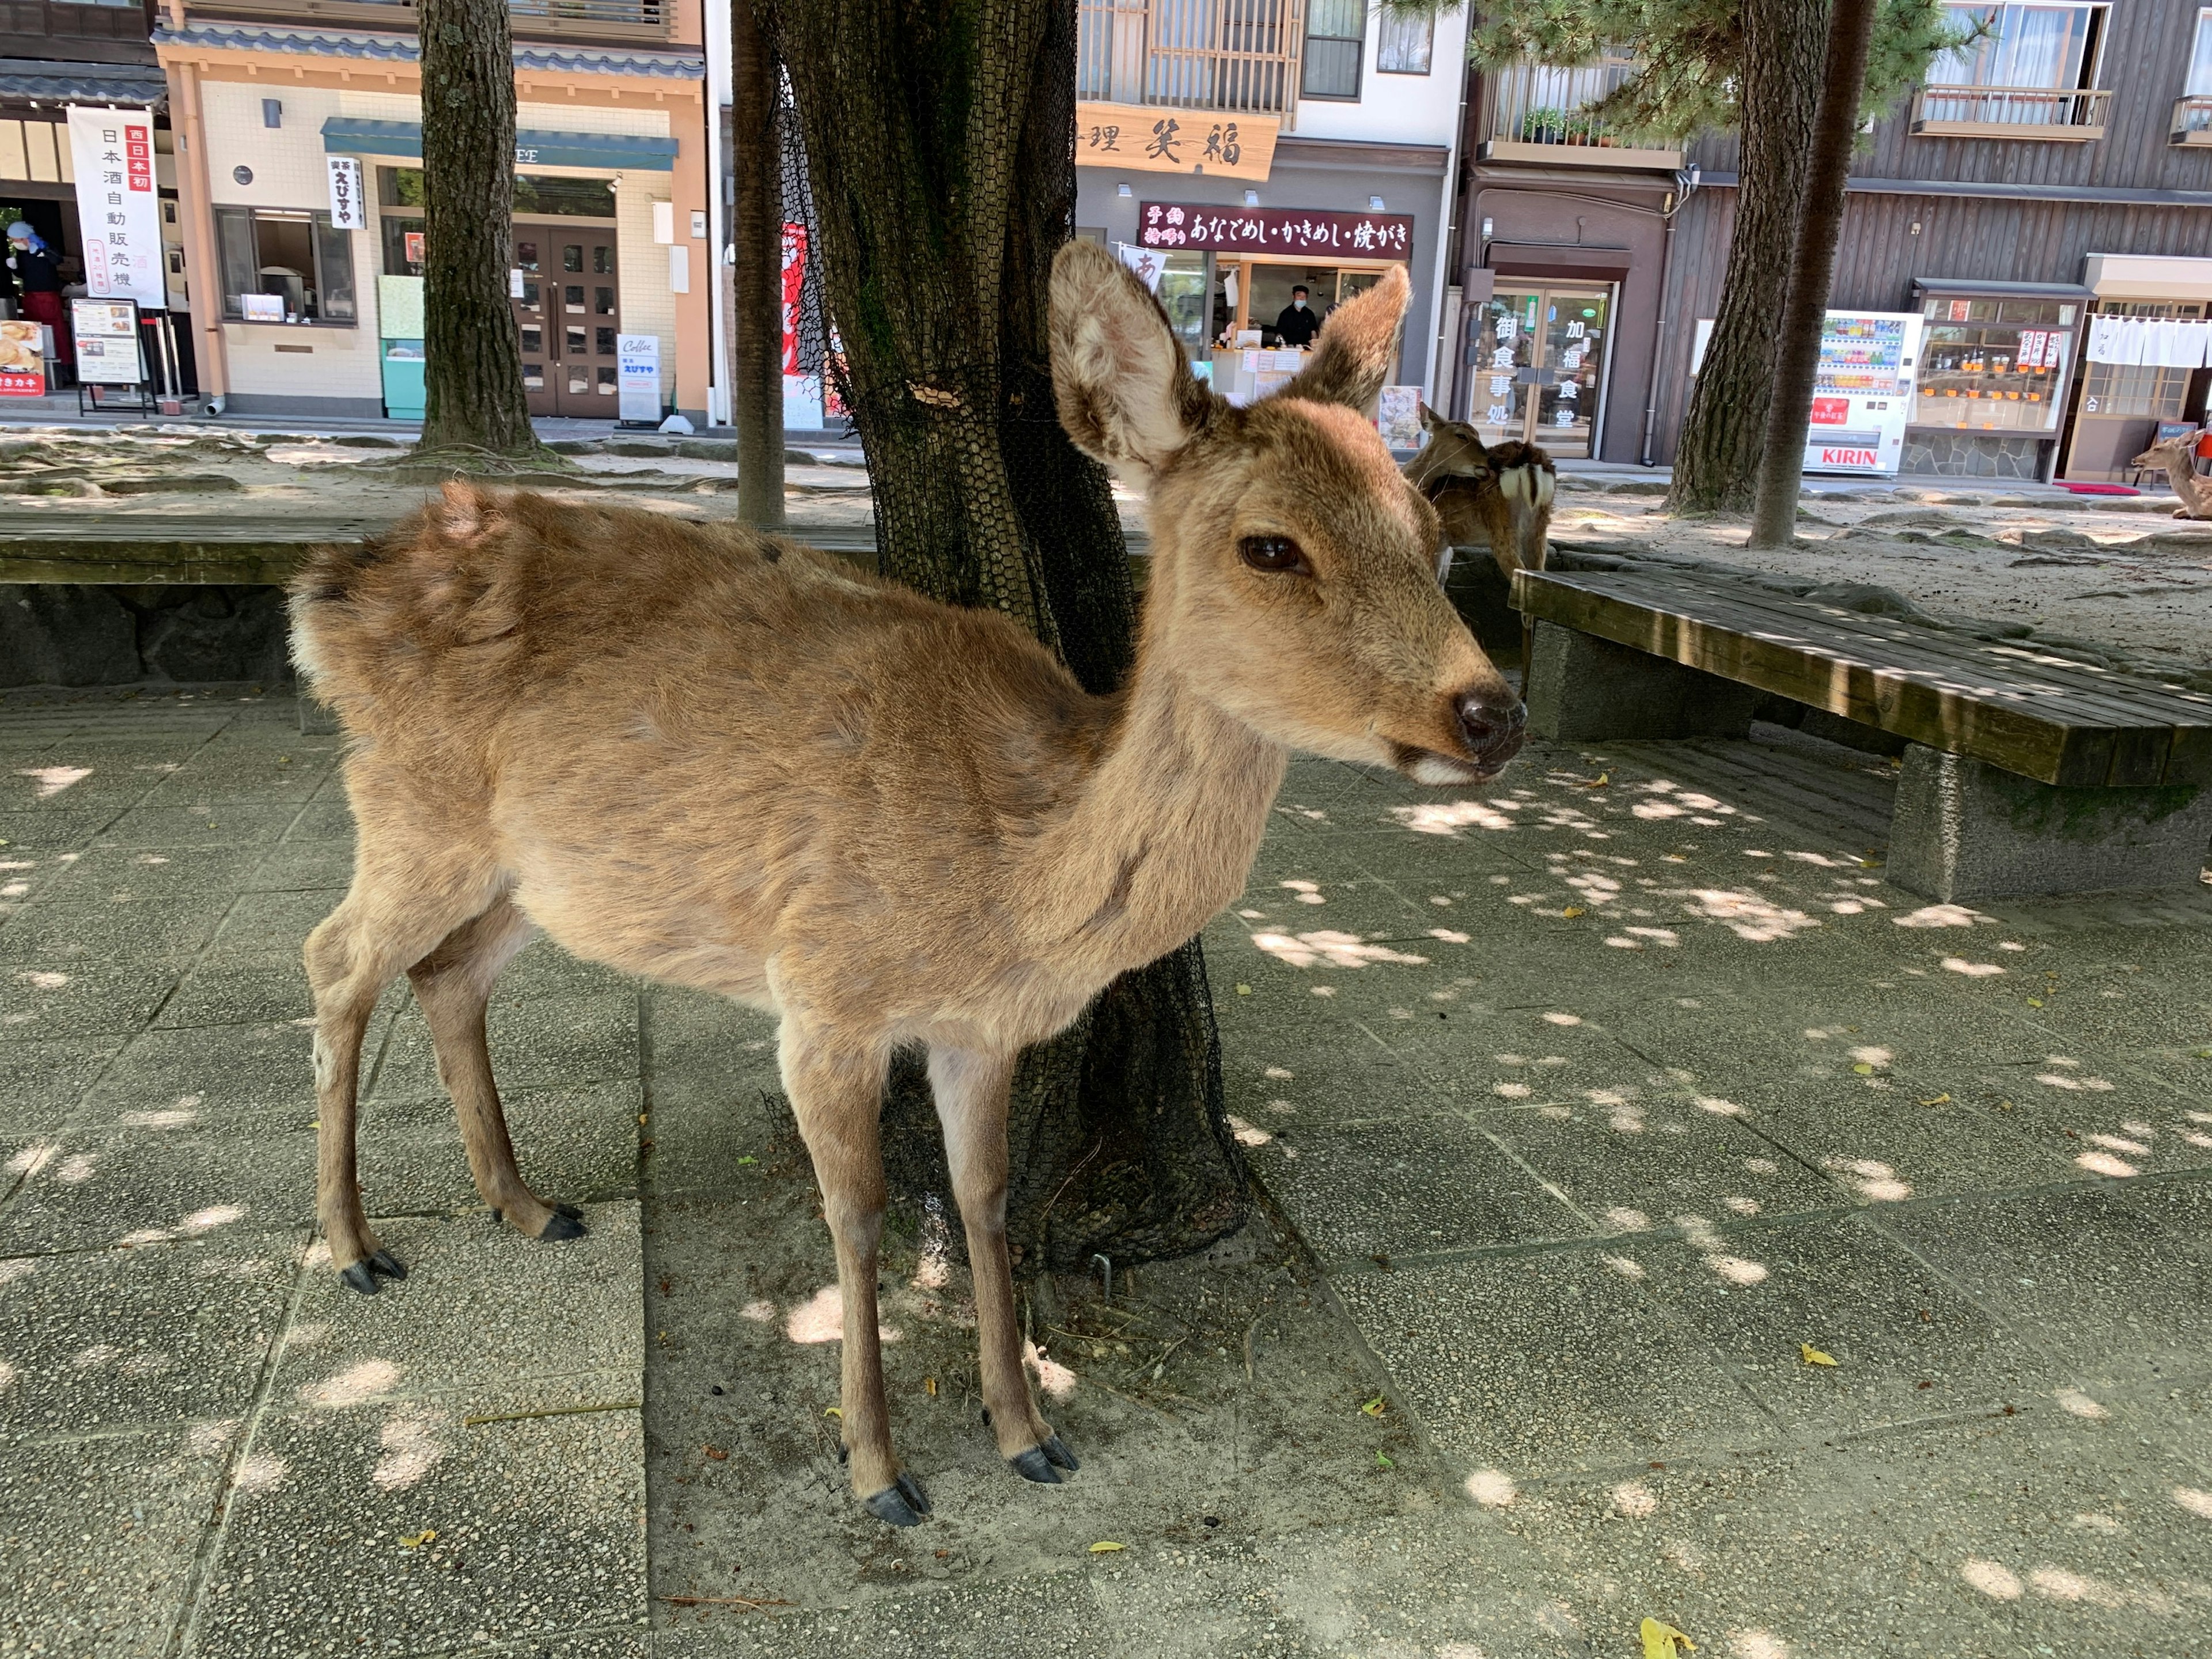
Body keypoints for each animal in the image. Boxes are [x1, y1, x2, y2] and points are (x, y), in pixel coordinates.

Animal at [290, 236, 1521, 1531]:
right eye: (1272, 545)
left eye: (1428, 527)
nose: (1491, 713)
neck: (1014, 879)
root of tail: (324, 592)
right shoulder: (823, 995)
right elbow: (863, 1210)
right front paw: (880, 1470)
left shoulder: (982, 1032)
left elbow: (984, 1200)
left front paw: (1028, 1430)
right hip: (411, 811)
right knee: (336, 958)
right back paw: (357, 1248)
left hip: (534, 878)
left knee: (445, 974)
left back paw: (527, 1205)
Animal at [1397, 400, 1557, 579]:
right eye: (1461, 435)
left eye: (1478, 435)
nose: (1491, 461)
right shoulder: (1446, 544)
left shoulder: (1435, 537)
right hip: (1539, 528)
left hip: (1503, 526)